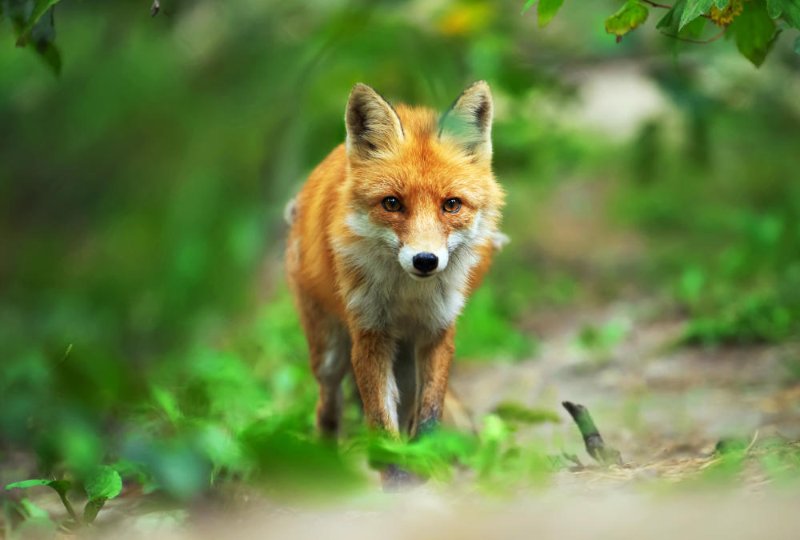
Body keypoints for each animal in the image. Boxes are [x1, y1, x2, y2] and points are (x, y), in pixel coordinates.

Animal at [285, 81, 505, 488]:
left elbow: (429, 413)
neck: (409, 296)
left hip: (402, 358)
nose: (425, 260)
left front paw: (425, 465)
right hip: (329, 353)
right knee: (328, 407)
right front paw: (396, 478)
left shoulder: (437, 331)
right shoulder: (370, 334)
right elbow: (381, 422)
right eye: (391, 203)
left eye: (451, 205)